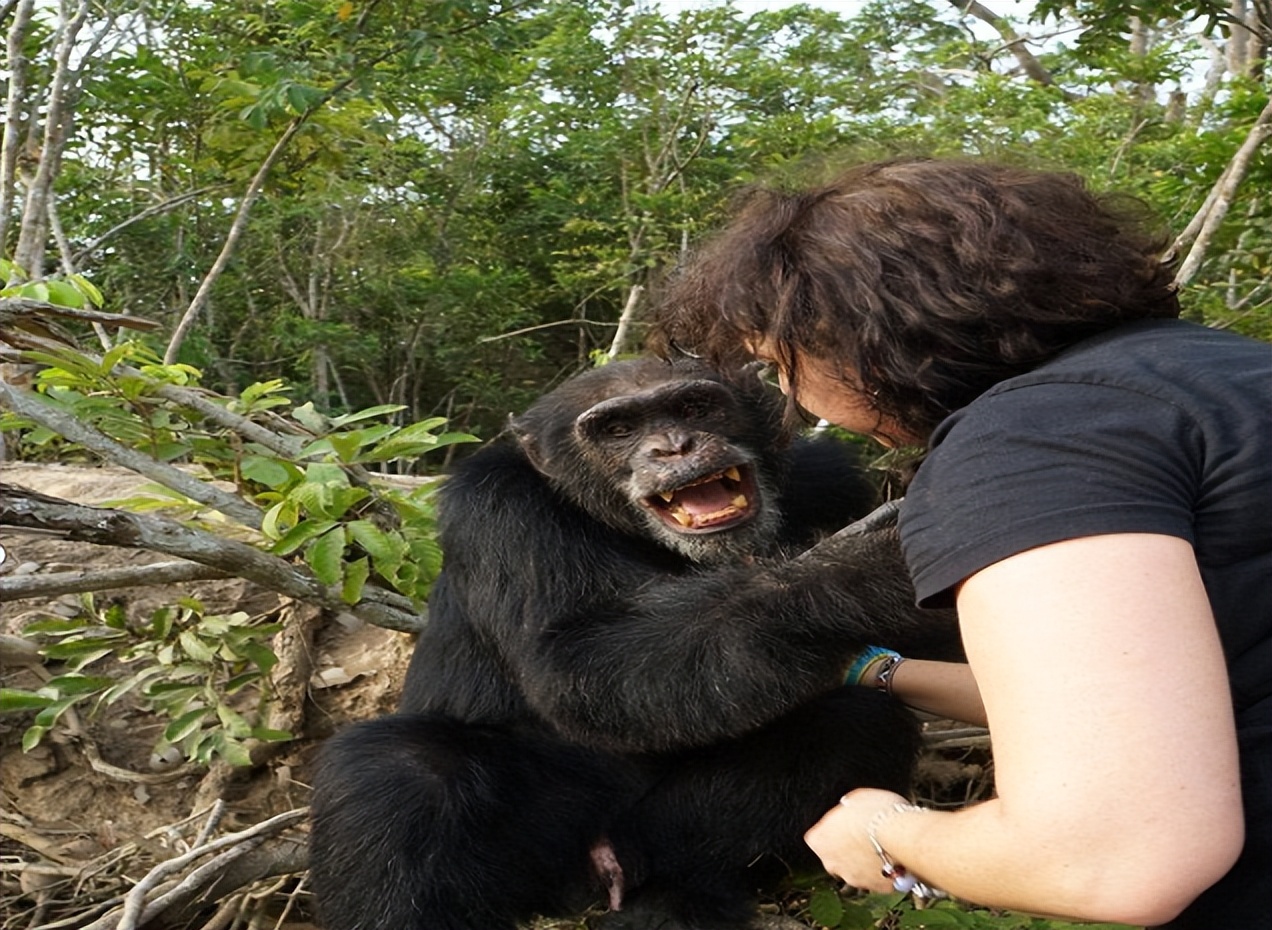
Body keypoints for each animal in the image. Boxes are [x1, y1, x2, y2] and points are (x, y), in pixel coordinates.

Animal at [310, 358, 956, 930]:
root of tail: (586, 885)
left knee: (854, 720)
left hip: (641, 838)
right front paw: (857, 573)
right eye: (618, 429)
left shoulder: (833, 476)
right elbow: (574, 663)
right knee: (397, 771)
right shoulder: (496, 512)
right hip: (531, 864)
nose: (674, 446)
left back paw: (675, 897)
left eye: (694, 406)